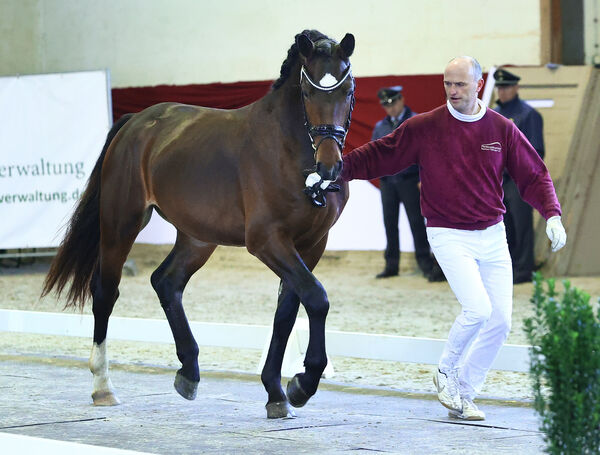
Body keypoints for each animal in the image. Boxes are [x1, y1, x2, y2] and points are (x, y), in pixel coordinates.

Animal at [44, 29, 358, 420]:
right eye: (308, 91)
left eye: (348, 90)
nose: (329, 167)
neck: (288, 151)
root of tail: (135, 121)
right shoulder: (267, 241)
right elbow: (316, 298)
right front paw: (303, 382)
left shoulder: (312, 244)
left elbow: (287, 312)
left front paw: (276, 391)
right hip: (121, 222)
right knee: (105, 292)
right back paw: (103, 386)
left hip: (197, 238)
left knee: (166, 282)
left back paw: (189, 371)